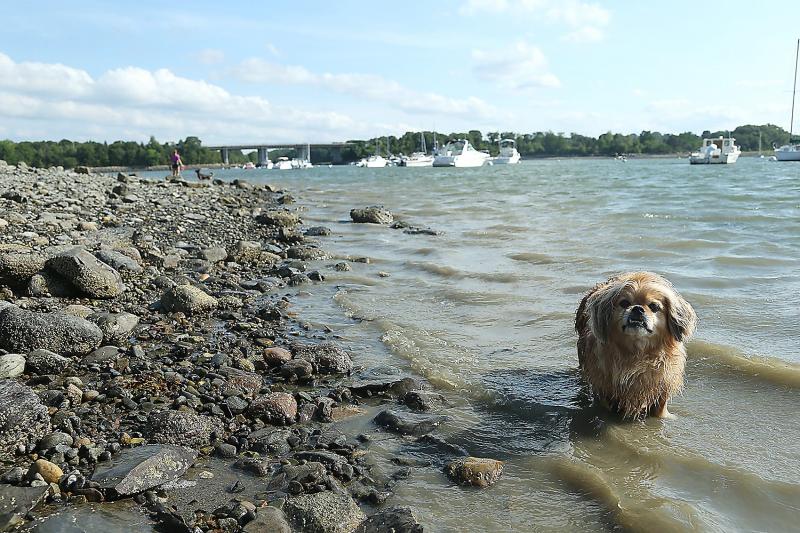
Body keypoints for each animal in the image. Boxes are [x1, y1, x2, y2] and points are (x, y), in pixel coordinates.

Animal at [576, 272, 692, 418]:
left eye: (654, 306)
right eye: (624, 303)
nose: (637, 308)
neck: (637, 353)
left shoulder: (661, 392)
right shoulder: (604, 391)